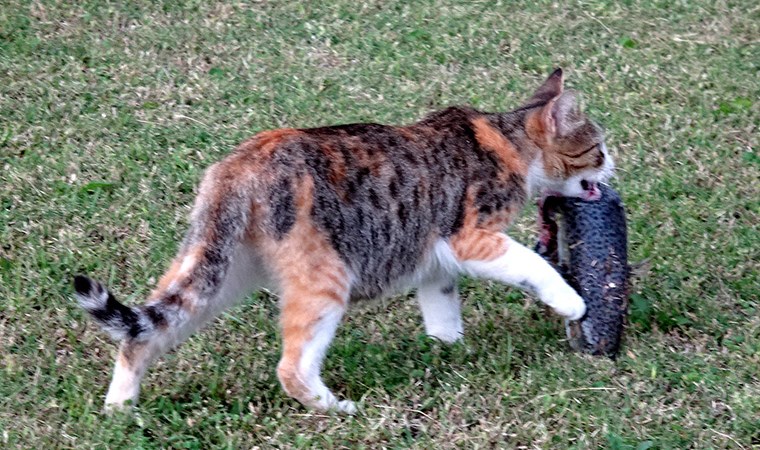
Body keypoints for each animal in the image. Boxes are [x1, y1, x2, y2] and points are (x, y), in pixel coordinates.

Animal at [74, 67, 616, 414]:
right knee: (291, 368)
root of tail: (240, 166)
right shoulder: (471, 236)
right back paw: (336, 408)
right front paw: (572, 303)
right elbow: (534, 266)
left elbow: (441, 306)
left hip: (217, 273)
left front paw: (447, 350)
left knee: (145, 333)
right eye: (598, 149)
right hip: (325, 278)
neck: (511, 143)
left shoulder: (434, 260)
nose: (614, 166)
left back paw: (119, 410)